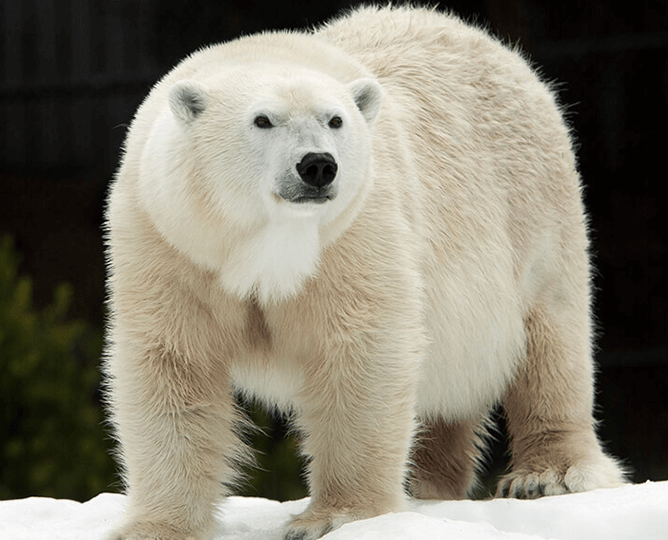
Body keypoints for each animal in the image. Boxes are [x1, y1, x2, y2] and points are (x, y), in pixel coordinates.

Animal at [103, 5, 626, 540]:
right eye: (262, 120)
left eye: (335, 120)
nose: (317, 165)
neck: (267, 245)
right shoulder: (174, 242)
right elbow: (172, 363)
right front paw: (156, 527)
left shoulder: (356, 232)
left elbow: (361, 350)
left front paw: (335, 516)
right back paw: (427, 483)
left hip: (531, 209)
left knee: (549, 334)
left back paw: (548, 474)